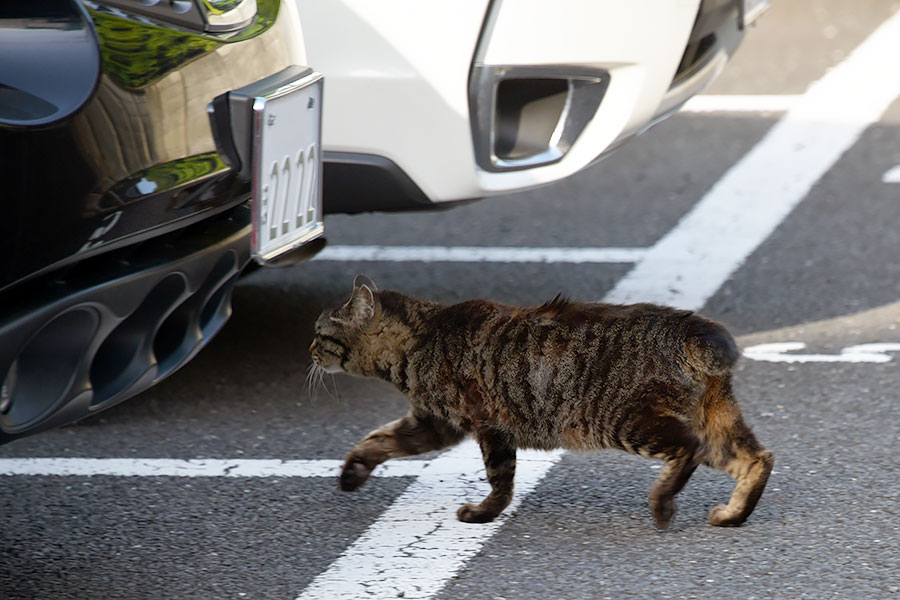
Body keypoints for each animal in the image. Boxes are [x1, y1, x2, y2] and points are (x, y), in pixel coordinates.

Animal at [310, 278, 772, 528]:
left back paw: (662, 503)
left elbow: (500, 480)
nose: (308, 351)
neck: (421, 338)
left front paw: (483, 513)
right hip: (714, 420)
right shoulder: (432, 423)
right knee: (757, 458)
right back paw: (732, 514)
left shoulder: (487, 426)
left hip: (627, 421)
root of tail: (693, 327)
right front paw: (352, 472)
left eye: (319, 332)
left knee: (689, 448)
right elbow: (378, 440)